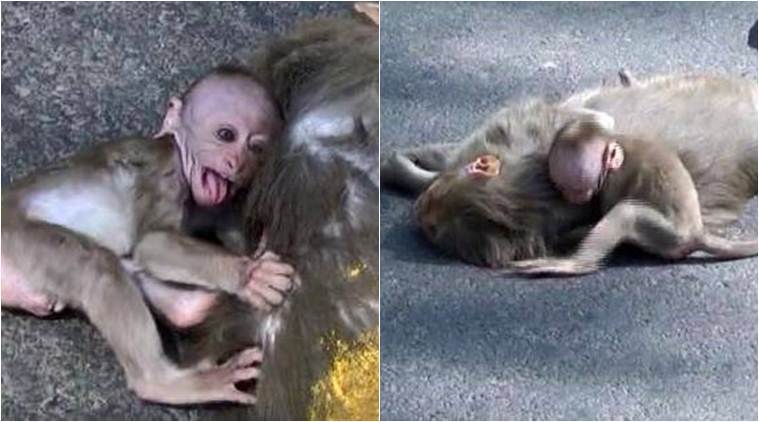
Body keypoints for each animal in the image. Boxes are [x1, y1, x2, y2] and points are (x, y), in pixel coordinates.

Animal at [1, 66, 296, 405]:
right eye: (226, 135)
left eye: (255, 148)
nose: (236, 163)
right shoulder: (165, 173)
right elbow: (151, 243)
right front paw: (249, 273)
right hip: (18, 238)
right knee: (97, 265)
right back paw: (164, 383)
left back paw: (193, 309)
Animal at [506, 119, 757, 275]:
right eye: (563, 188)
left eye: (579, 190)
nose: (574, 198)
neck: (615, 142)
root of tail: (697, 232)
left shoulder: (613, 180)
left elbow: (610, 208)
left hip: (670, 237)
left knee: (626, 213)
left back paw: (576, 264)